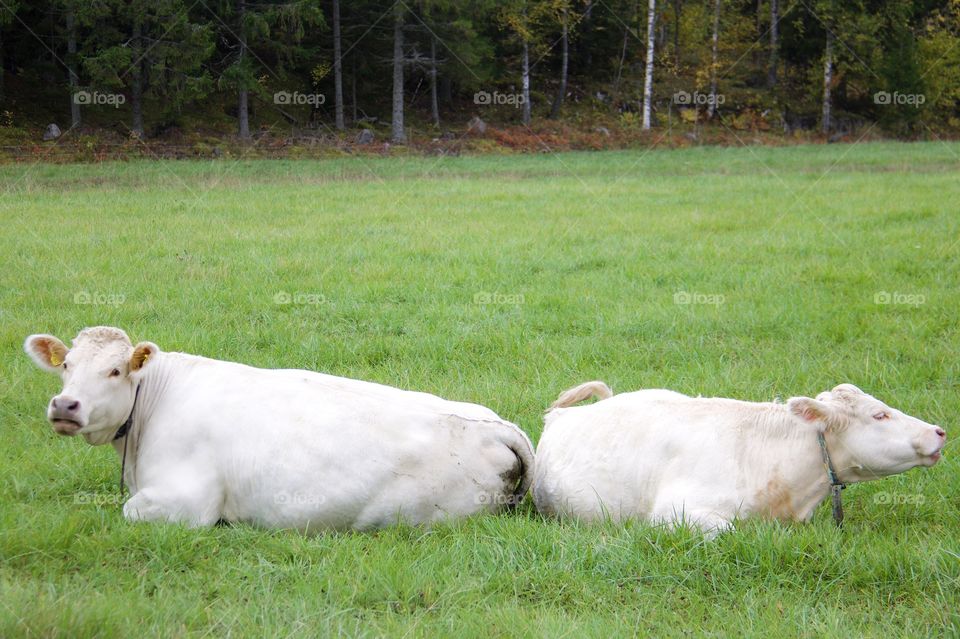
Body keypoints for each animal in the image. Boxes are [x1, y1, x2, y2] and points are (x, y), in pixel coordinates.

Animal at [24, 327, 534, 531]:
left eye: (115, 371)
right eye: (66, 365)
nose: (65, 405)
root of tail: (497, 425)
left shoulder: (185, 501)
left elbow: (130, 512)